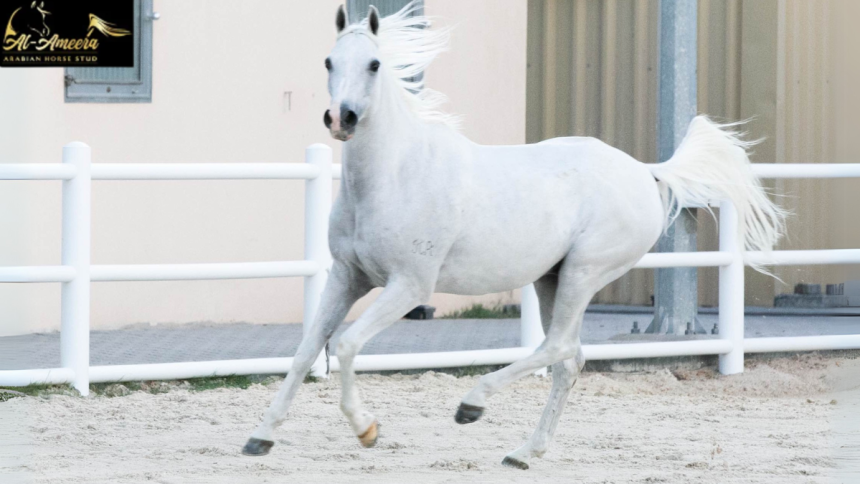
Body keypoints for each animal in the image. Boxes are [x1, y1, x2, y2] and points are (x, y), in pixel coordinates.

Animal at [244, 3, 788, 468]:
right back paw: (524, 452)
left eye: (375, 63)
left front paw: (367, 430)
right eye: (329, 61)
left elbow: (347, 344)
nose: (342, 119)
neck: (394, 175)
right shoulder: (346, 278)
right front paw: (260, 438)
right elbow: (306, 351)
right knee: (570, 359)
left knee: (557, 349)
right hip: (551, 279)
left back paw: (472, 405)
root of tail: (645, 171)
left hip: (584, 273)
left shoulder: (409, 286)